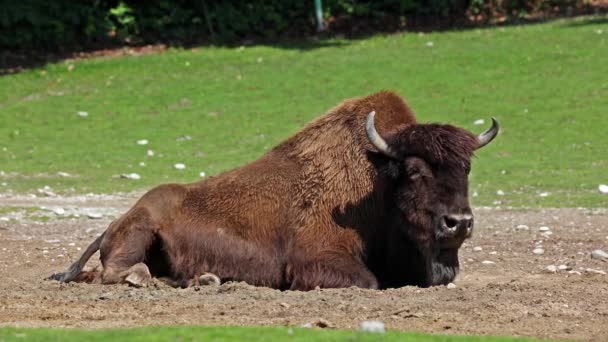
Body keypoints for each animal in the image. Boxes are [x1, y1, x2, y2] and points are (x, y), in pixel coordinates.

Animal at [50, 90, 498, 288]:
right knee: (117, 270)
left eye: (466, 168)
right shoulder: (317, 259)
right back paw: (154, 280)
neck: (377, 180)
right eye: (415, 170)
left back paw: (205, 279)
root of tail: (113, 222)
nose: (458, 222)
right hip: (140, 229)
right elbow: (367, 281)